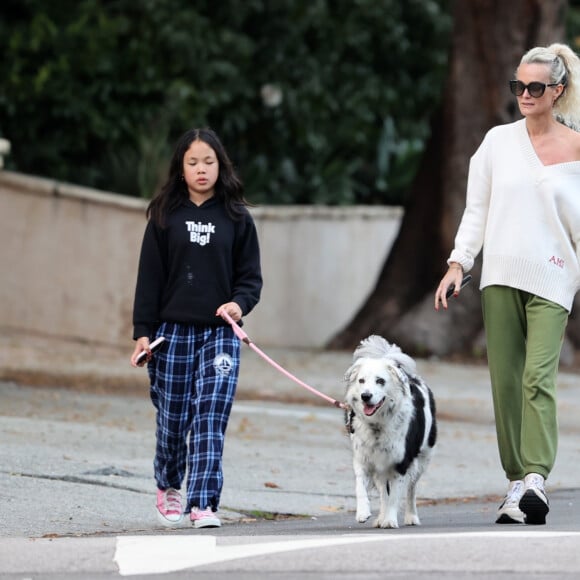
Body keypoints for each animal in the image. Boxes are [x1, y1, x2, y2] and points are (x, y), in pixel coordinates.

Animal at [344, 336, 436, 532]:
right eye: (361, 381)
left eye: (380, 381)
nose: (365, 396)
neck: (377, 425)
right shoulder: (363, 460)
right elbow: (361, 487)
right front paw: (363, 512)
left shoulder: (401, 464)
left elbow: (395, 495)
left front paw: (391, 520)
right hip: (381, 469)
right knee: (383, 492)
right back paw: (380, 517)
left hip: (422, 460)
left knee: (411, 490)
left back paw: (411, 516)